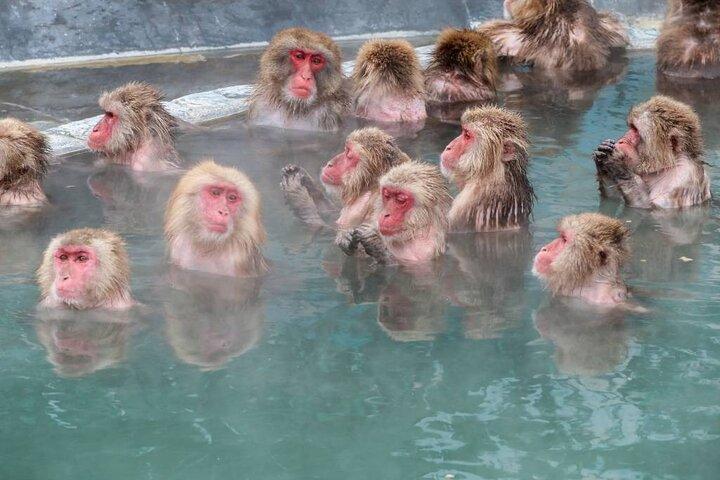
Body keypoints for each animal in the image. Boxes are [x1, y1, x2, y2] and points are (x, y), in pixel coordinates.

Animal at [280, 127, 410, 253]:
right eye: (345, 149)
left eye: (349, 154)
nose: (329, 164)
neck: (369, 187)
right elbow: (332, 214)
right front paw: (305, 178)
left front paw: (295, 193)